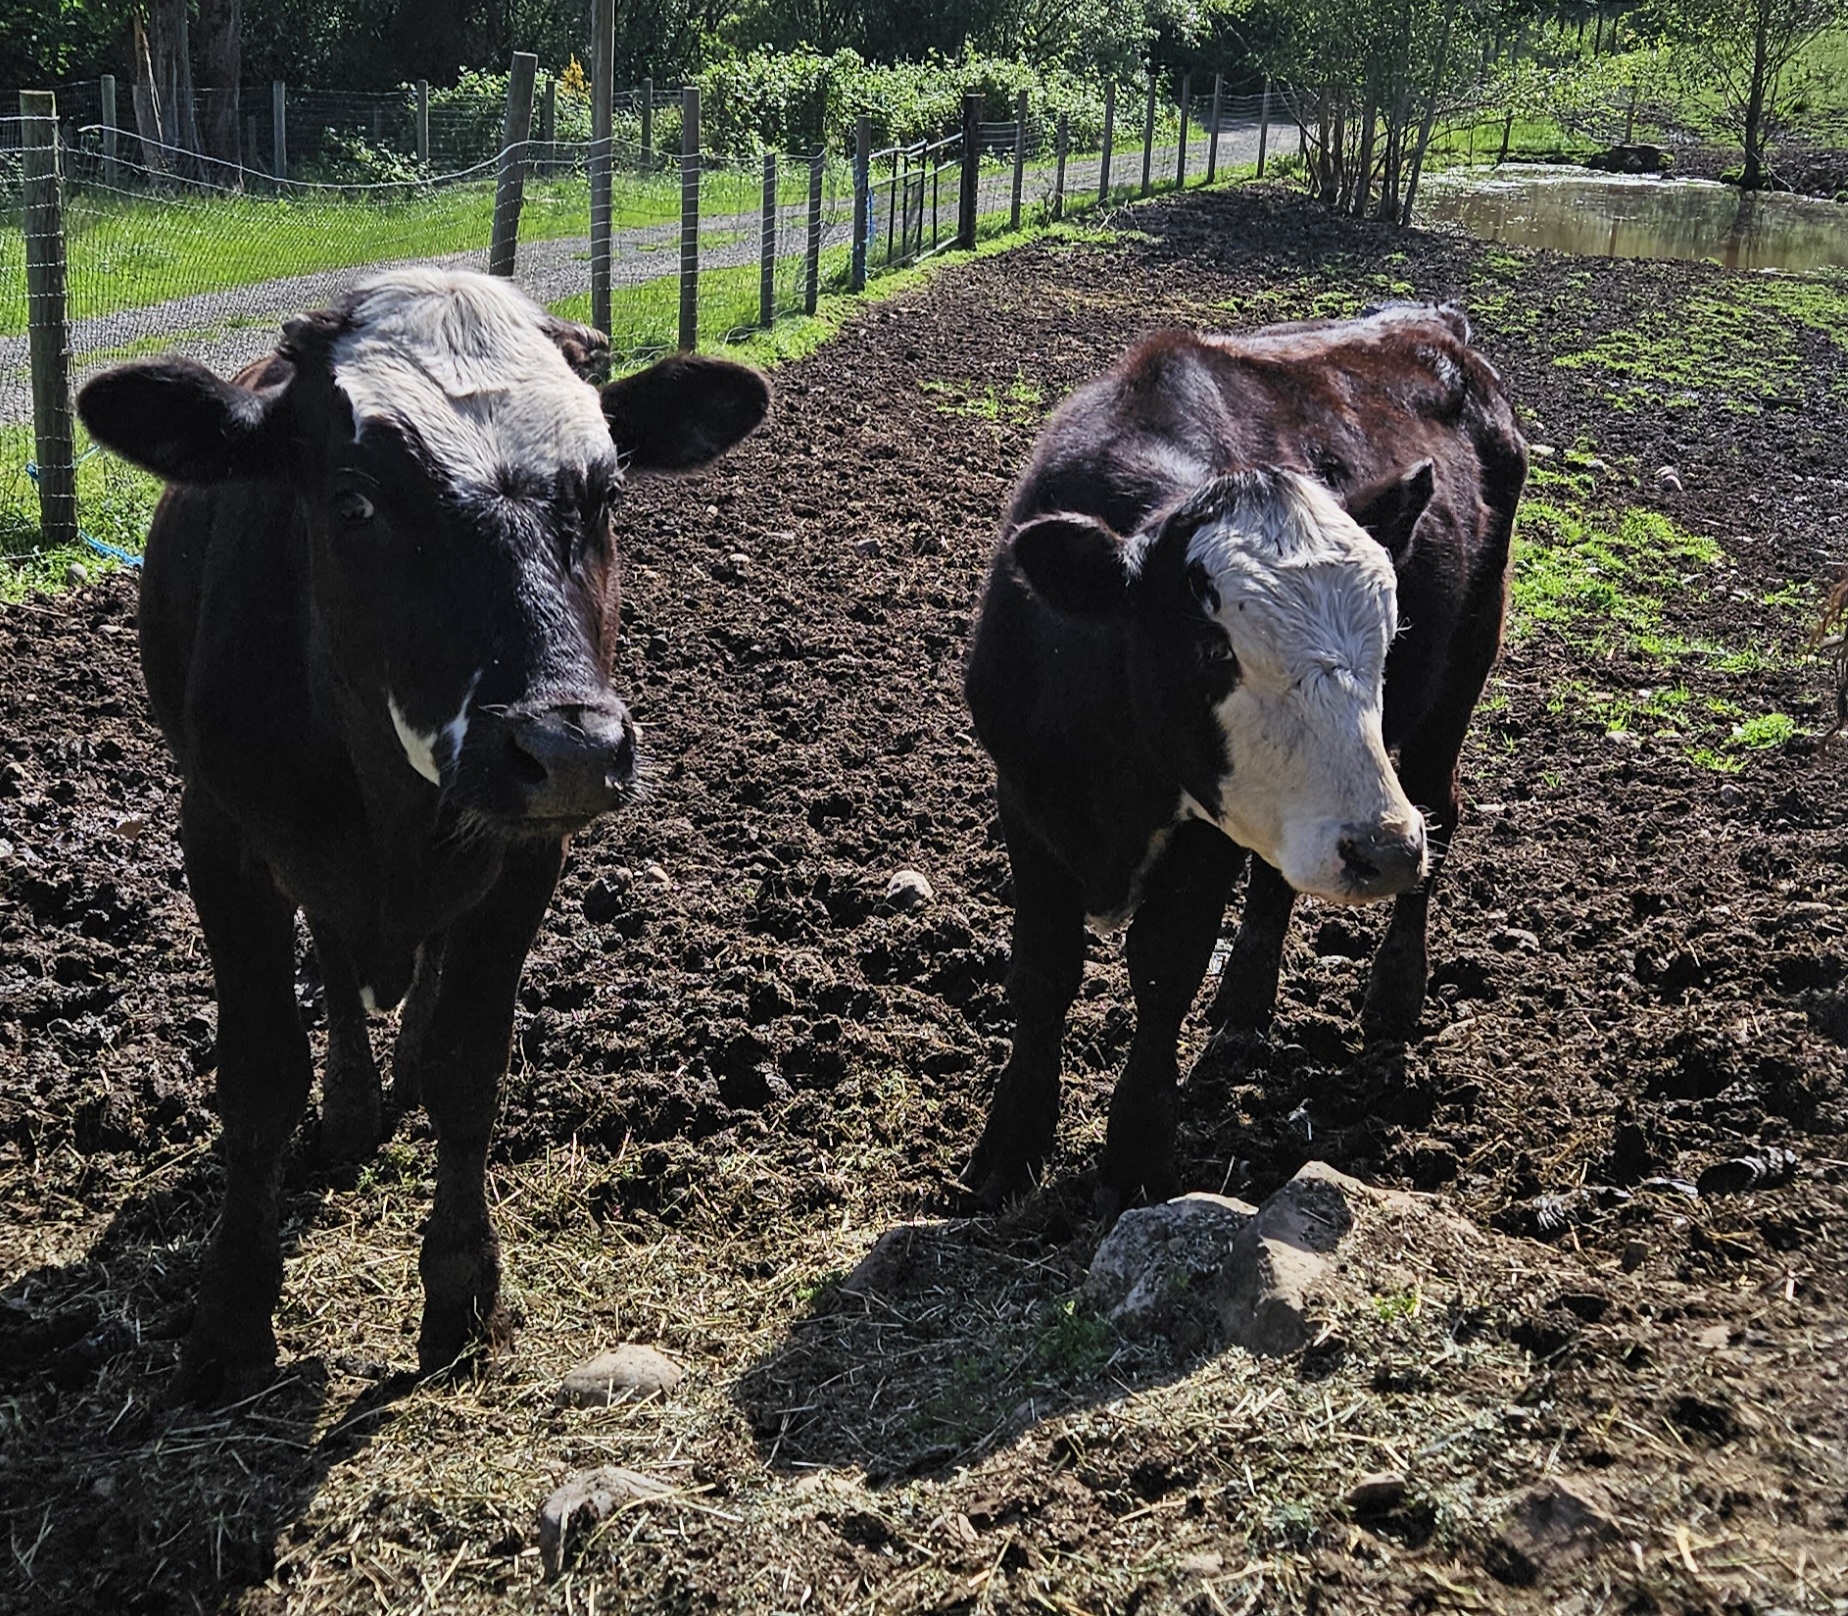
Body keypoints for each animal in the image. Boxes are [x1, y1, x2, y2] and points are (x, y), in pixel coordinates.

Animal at [76, 268, 769, 1403]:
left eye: (607, 493)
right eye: (354, 500)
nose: (566, 746)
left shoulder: (528, 852)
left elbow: (467, 1061)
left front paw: (461, 1289)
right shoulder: (221, 836)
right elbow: (260, 1074)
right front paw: (230, 1317)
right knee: (335, 953)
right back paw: (355, 1103)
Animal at [961, 305, 1526, 1214]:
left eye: (1388, 636)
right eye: (1213, 650)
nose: (1384, 850)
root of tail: (1431, 323)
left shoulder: (1206, 835)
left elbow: (1164, 973)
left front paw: (1135, 1160)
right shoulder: (1026, 799)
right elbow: (1044, 973)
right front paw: (1008, 1149)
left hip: (1460, 681)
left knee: (1441, 807)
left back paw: (1395, 990)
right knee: (1279, 878)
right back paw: (1246, 1004)